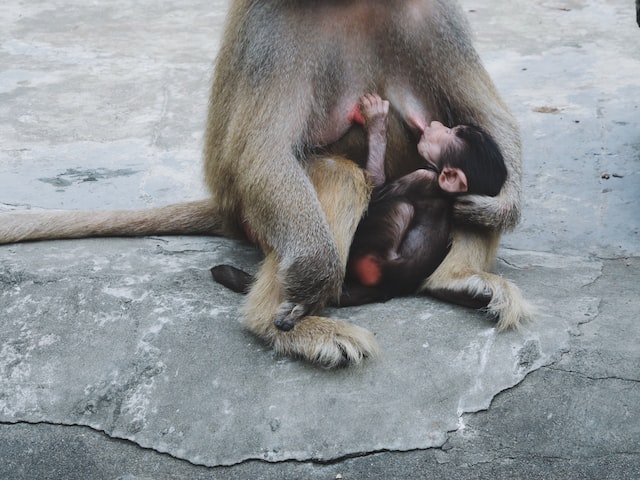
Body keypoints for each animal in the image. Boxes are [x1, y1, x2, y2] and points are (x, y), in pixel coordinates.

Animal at [212, 93, 508, 324]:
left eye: (449, 134)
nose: (435, 125)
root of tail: (385, 289)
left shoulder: (421, 177)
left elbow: (376, 187)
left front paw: (377, 122)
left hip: (367, 255)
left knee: (399, 209)